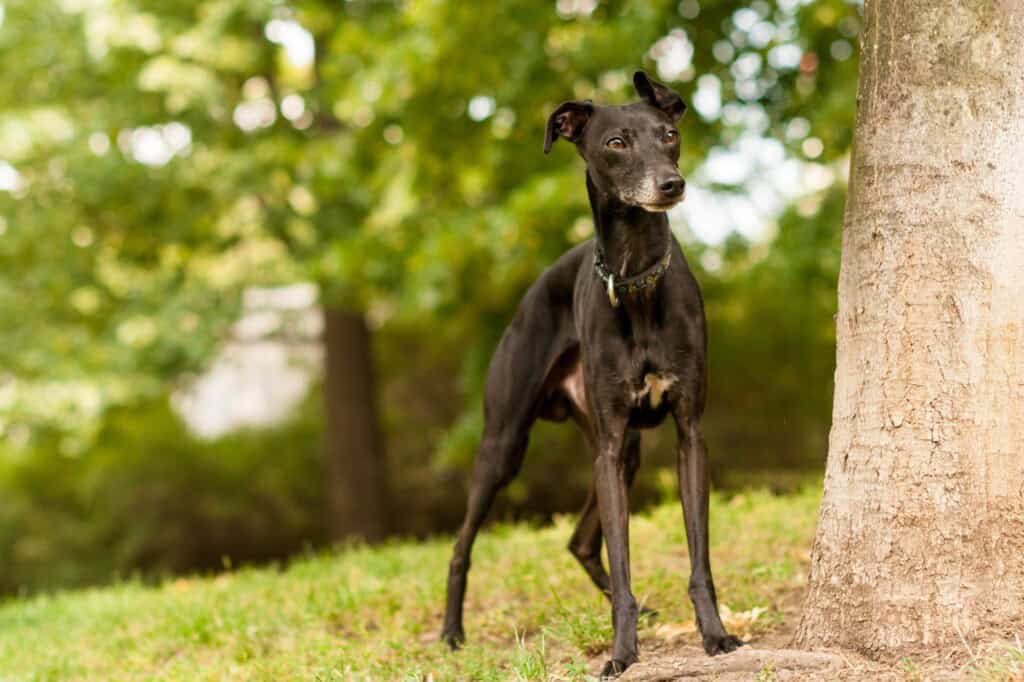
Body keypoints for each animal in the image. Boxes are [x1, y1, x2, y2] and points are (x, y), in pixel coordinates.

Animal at [440, 70, 745, 675]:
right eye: (616, 143)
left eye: (670, 134)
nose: (671, 185)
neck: (635, 283)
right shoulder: (607, 443)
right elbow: (623, 558)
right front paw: (623, 652)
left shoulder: (687, 433)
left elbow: (698, 558)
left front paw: (715, 634)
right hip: (506, 444)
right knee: (461, 546)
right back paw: (451, 633)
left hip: (625, 452)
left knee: (579, 542)